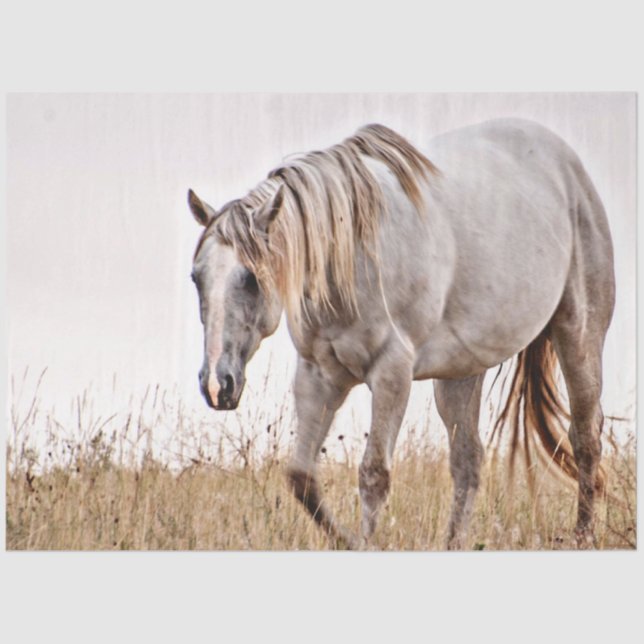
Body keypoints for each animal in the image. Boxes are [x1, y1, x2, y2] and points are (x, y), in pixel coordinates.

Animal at [187, 119, 615, 549]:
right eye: (196, 277)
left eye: (252, 278)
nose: (216, 384)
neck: (351, 259)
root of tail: (566, 164)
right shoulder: (317, 375)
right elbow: (301, 477)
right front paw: (348, 541)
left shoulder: (391, 374)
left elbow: (374, 474)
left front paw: (365, 544)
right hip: (461, 373)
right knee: (468, 462)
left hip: (578, 335)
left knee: (585, 438)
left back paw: (583, 535)